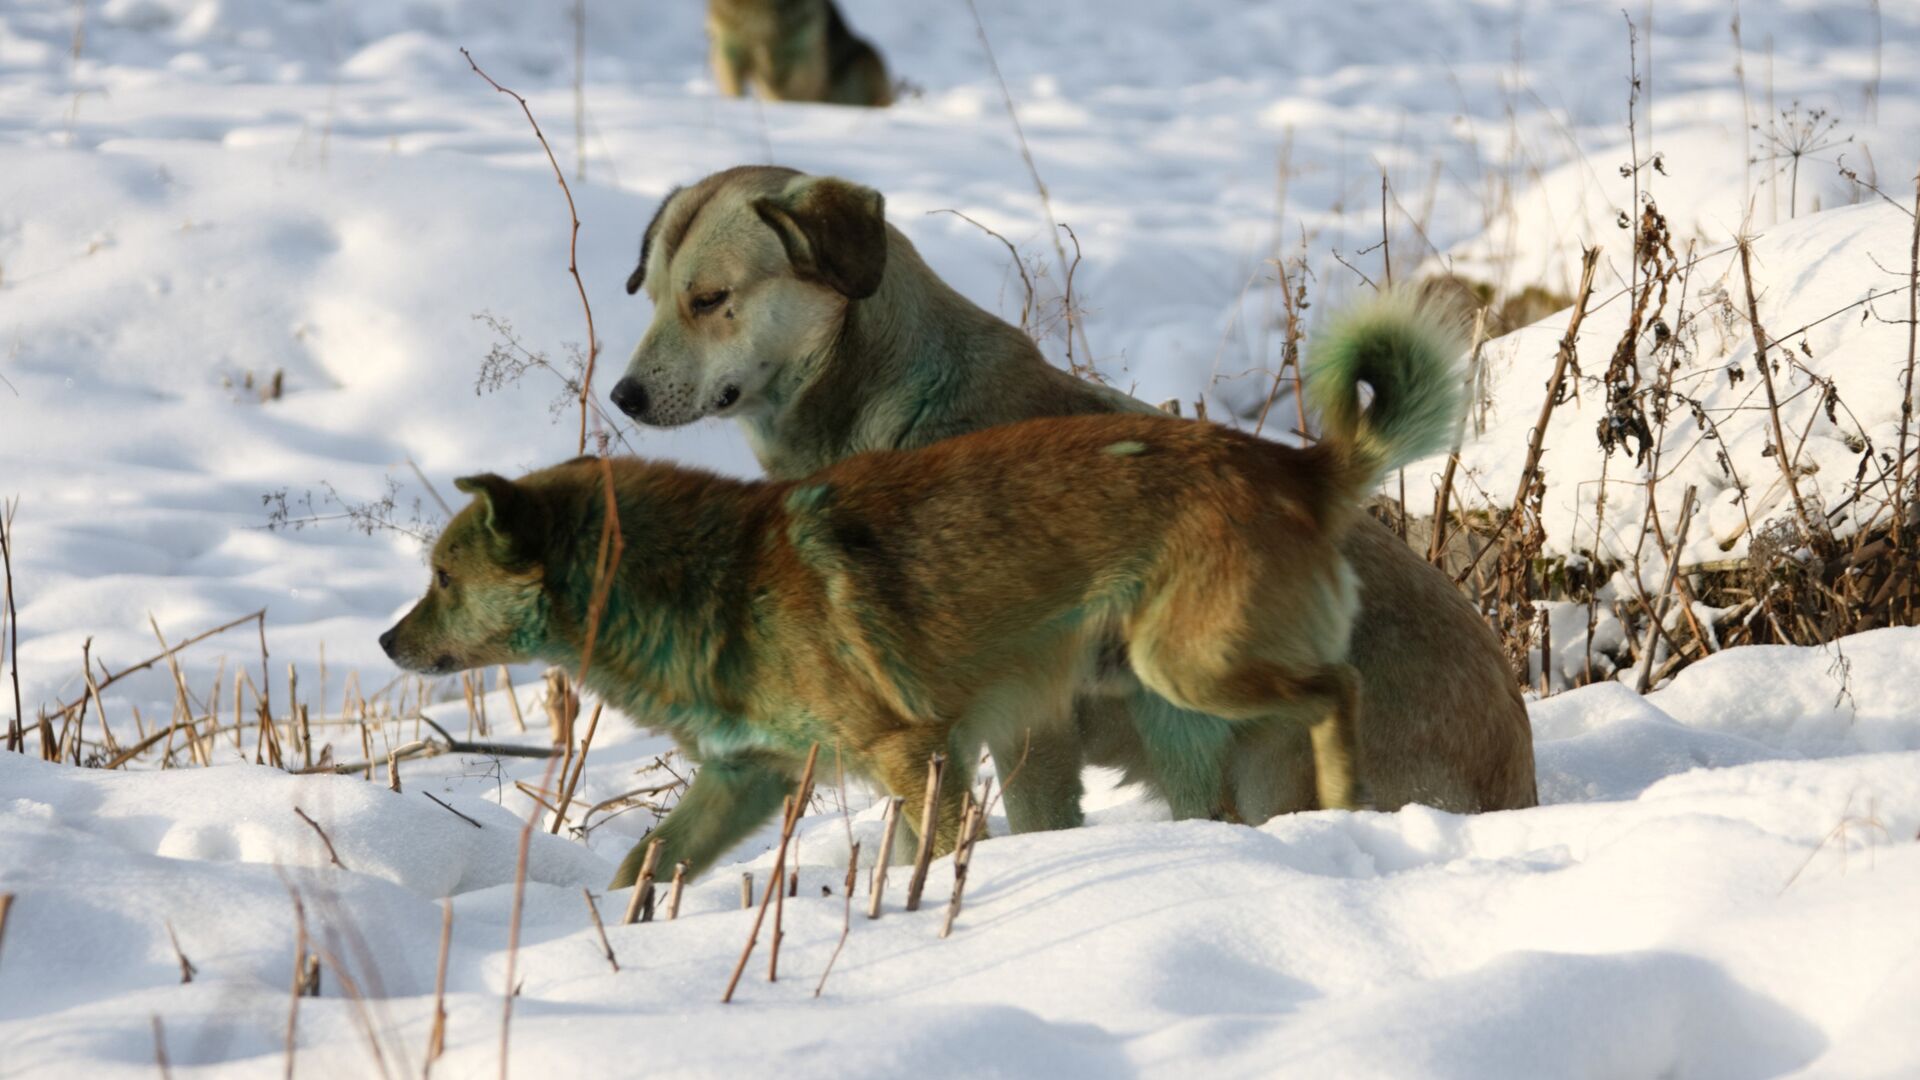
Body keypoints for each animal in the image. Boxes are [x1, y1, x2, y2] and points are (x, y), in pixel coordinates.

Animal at [374, 338, 1451, 883]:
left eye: (442, 579)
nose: (385, 641)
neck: (704, 578)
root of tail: (1299, 466)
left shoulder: (916, 752)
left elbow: (929, 855)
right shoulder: (748, 776)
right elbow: (645, 864)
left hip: (1188, 668)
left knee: (1338, 689)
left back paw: (1352, 803)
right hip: (1183, 691)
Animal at [618, 164, 1543, 826]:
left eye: (710, 300)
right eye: (656, 297)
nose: (624, 396)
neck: (897, 404)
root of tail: (1515, 769)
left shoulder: (1027, 730)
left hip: (1252, 754)